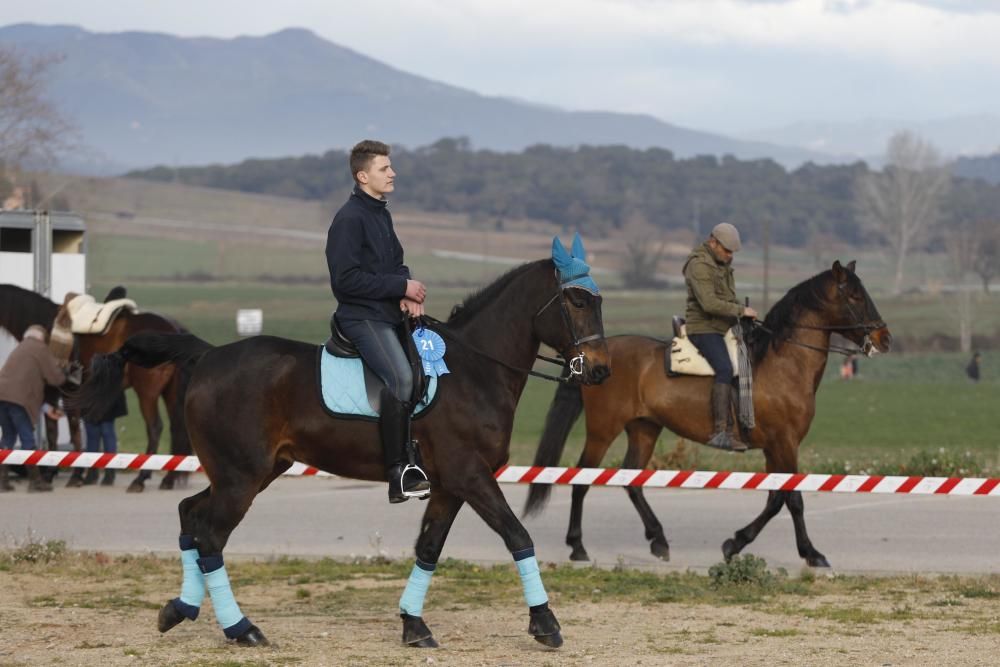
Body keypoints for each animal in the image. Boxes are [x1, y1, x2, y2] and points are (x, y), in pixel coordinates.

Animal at [0, 282, 190, 490]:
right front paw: (63, 473)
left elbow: (70, 433)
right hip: (170, 393)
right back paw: (168, 479)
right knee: (176, 427)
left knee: (154, 428)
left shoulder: (61, 392)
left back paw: (139, 480)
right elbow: (60, 433)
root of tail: (175, 330)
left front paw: (69, 475)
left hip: (147, 393)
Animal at [72, 249, 608, 648]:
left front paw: (414, 626)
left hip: (249, 472)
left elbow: (429, 548)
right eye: (577, 301)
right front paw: (545, 624)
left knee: (190, 514)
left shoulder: (450, 485)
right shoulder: (471, 476)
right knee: (209, 537)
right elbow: (517, 535)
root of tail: (207, 355)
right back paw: (241, 629)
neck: (474, 369)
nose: (600, 370)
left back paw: (179, 609)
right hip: (241, 478)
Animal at [524, 260, 892, 568]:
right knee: (582, 477)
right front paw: (811, 553)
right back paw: (578, 546)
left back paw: (658, 540)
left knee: (632, 482)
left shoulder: (775, 448)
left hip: (644, 428)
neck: (783, 362)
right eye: (855, 296)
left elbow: (776, 499)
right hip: (604, 429)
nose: (884, 338)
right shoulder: (785, 443)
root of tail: (592, 357)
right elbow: (792, 500)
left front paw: (735, 543)